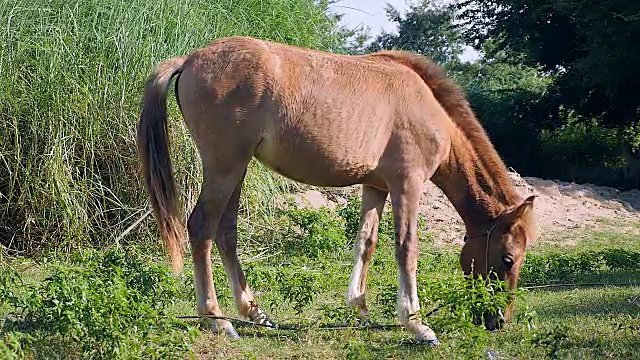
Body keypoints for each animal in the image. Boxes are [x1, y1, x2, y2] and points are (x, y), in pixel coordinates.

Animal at [138, 35, 536, 344]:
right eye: (508, 258)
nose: (498, 321)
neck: (427, 105)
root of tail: (191, 60)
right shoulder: (407, 185)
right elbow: (406, 248)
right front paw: (416, 324)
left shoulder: (375, 187)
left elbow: (366, 243)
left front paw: (360, 310)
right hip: (226, 169)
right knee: (201, 228)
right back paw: (217, 320)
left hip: (236, 170)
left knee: (226, 233)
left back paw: (254, 313)